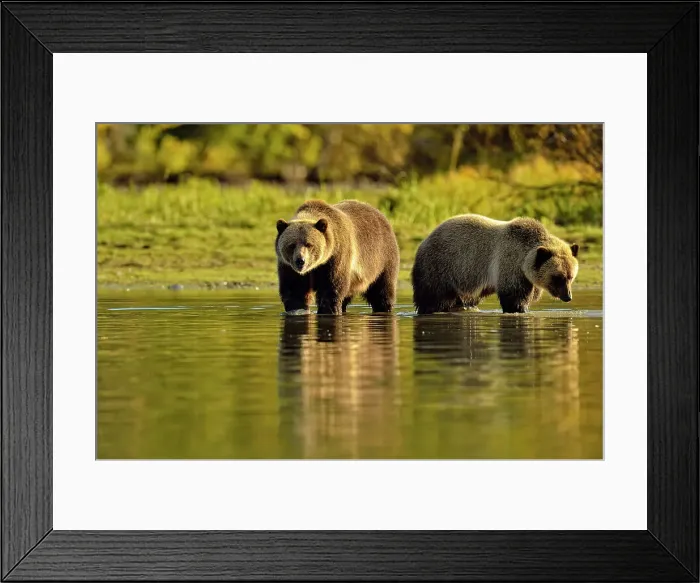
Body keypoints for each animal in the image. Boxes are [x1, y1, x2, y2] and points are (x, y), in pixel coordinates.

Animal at [411, 214, 579, 314]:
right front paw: (519, 309)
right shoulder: (509, 263)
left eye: (570, 277)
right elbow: (514, 296)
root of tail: (425, 240)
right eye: (557, 277)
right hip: (441, 266)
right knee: (433, 296)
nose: (568, 296)